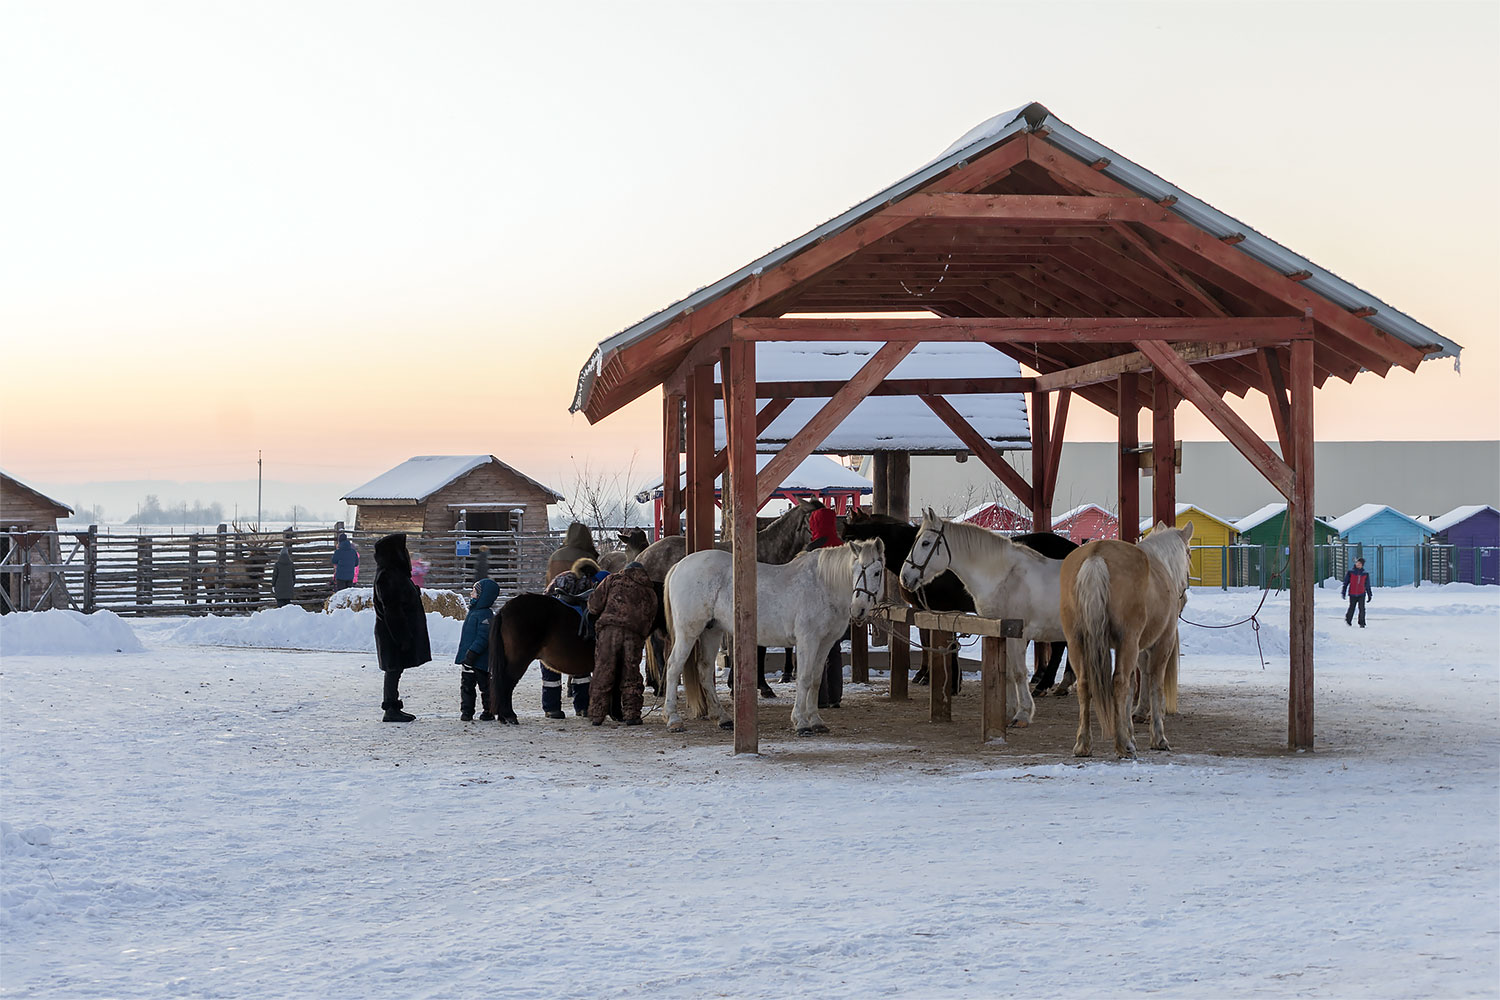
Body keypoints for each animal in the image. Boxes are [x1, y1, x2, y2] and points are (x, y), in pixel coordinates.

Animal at [663, 539, 882, 734]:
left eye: (877, 572)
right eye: (855, 569)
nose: (859, 609)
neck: (823, 584)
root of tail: (679, 565)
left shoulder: (825, 643)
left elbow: (816, 680)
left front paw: (816, 721)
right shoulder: (808, 640)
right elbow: (804, 678)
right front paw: (801, 722)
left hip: (712, 631)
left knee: (706, 670)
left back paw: (723, 718)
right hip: (688, 632)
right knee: (674, 666)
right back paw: (673, 719)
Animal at [894, 512, 1074, 722]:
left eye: (925, 543)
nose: (905, 577)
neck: (1004, 576)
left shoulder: (1018, 635)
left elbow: (1019, 673)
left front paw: (1023, 714)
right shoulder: (1001, 633)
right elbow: (1008, 674)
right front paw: (1009, 712)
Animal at [1056, 524, 1194, 758]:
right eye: (1189, 553)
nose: (1183, 597)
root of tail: (1096, 557)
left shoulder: (1137, 649)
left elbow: (1132, 688)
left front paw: (1131, 732)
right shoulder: (1160, 644)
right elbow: (1153, 686)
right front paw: (1157, 738)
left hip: (1077, 642)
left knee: (1084, 684)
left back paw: (1083, 744)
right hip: (1127, 642)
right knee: (1118, 682)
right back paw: (1123, 745)